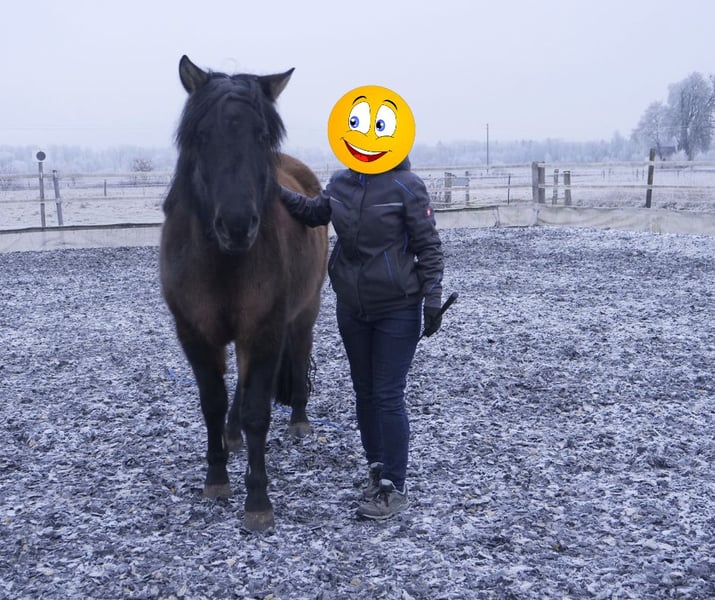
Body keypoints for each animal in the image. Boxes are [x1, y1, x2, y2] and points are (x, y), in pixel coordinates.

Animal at [160, 55, 328, 532]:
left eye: (261, 135)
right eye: (202, 136)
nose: (236, 226)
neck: (223, 263)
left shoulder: (265, 331)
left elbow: (258, 411)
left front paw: (257, 501)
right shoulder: (195, 334)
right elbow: (213, 403)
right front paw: (217, 478)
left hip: (305, 312)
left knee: (297, 356)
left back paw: (299, 420)